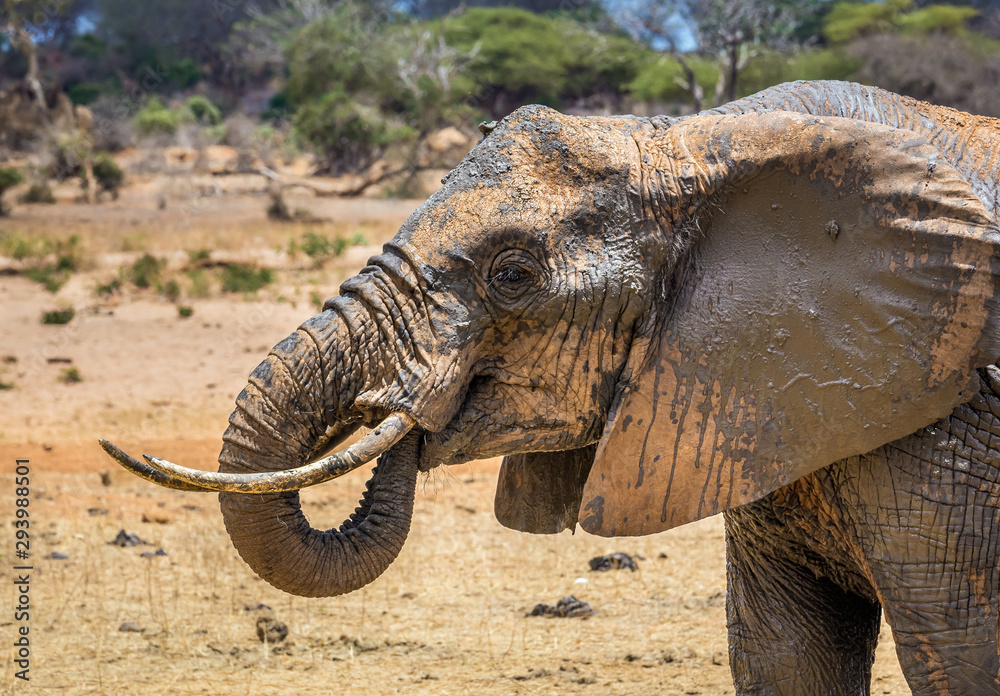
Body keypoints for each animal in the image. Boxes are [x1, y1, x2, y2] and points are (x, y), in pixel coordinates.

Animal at [102, 80, 1000, 695]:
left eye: (512, 276)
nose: (400, 412)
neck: (702, 140)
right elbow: (786, 656)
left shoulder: (955, 429)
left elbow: (961, 651)